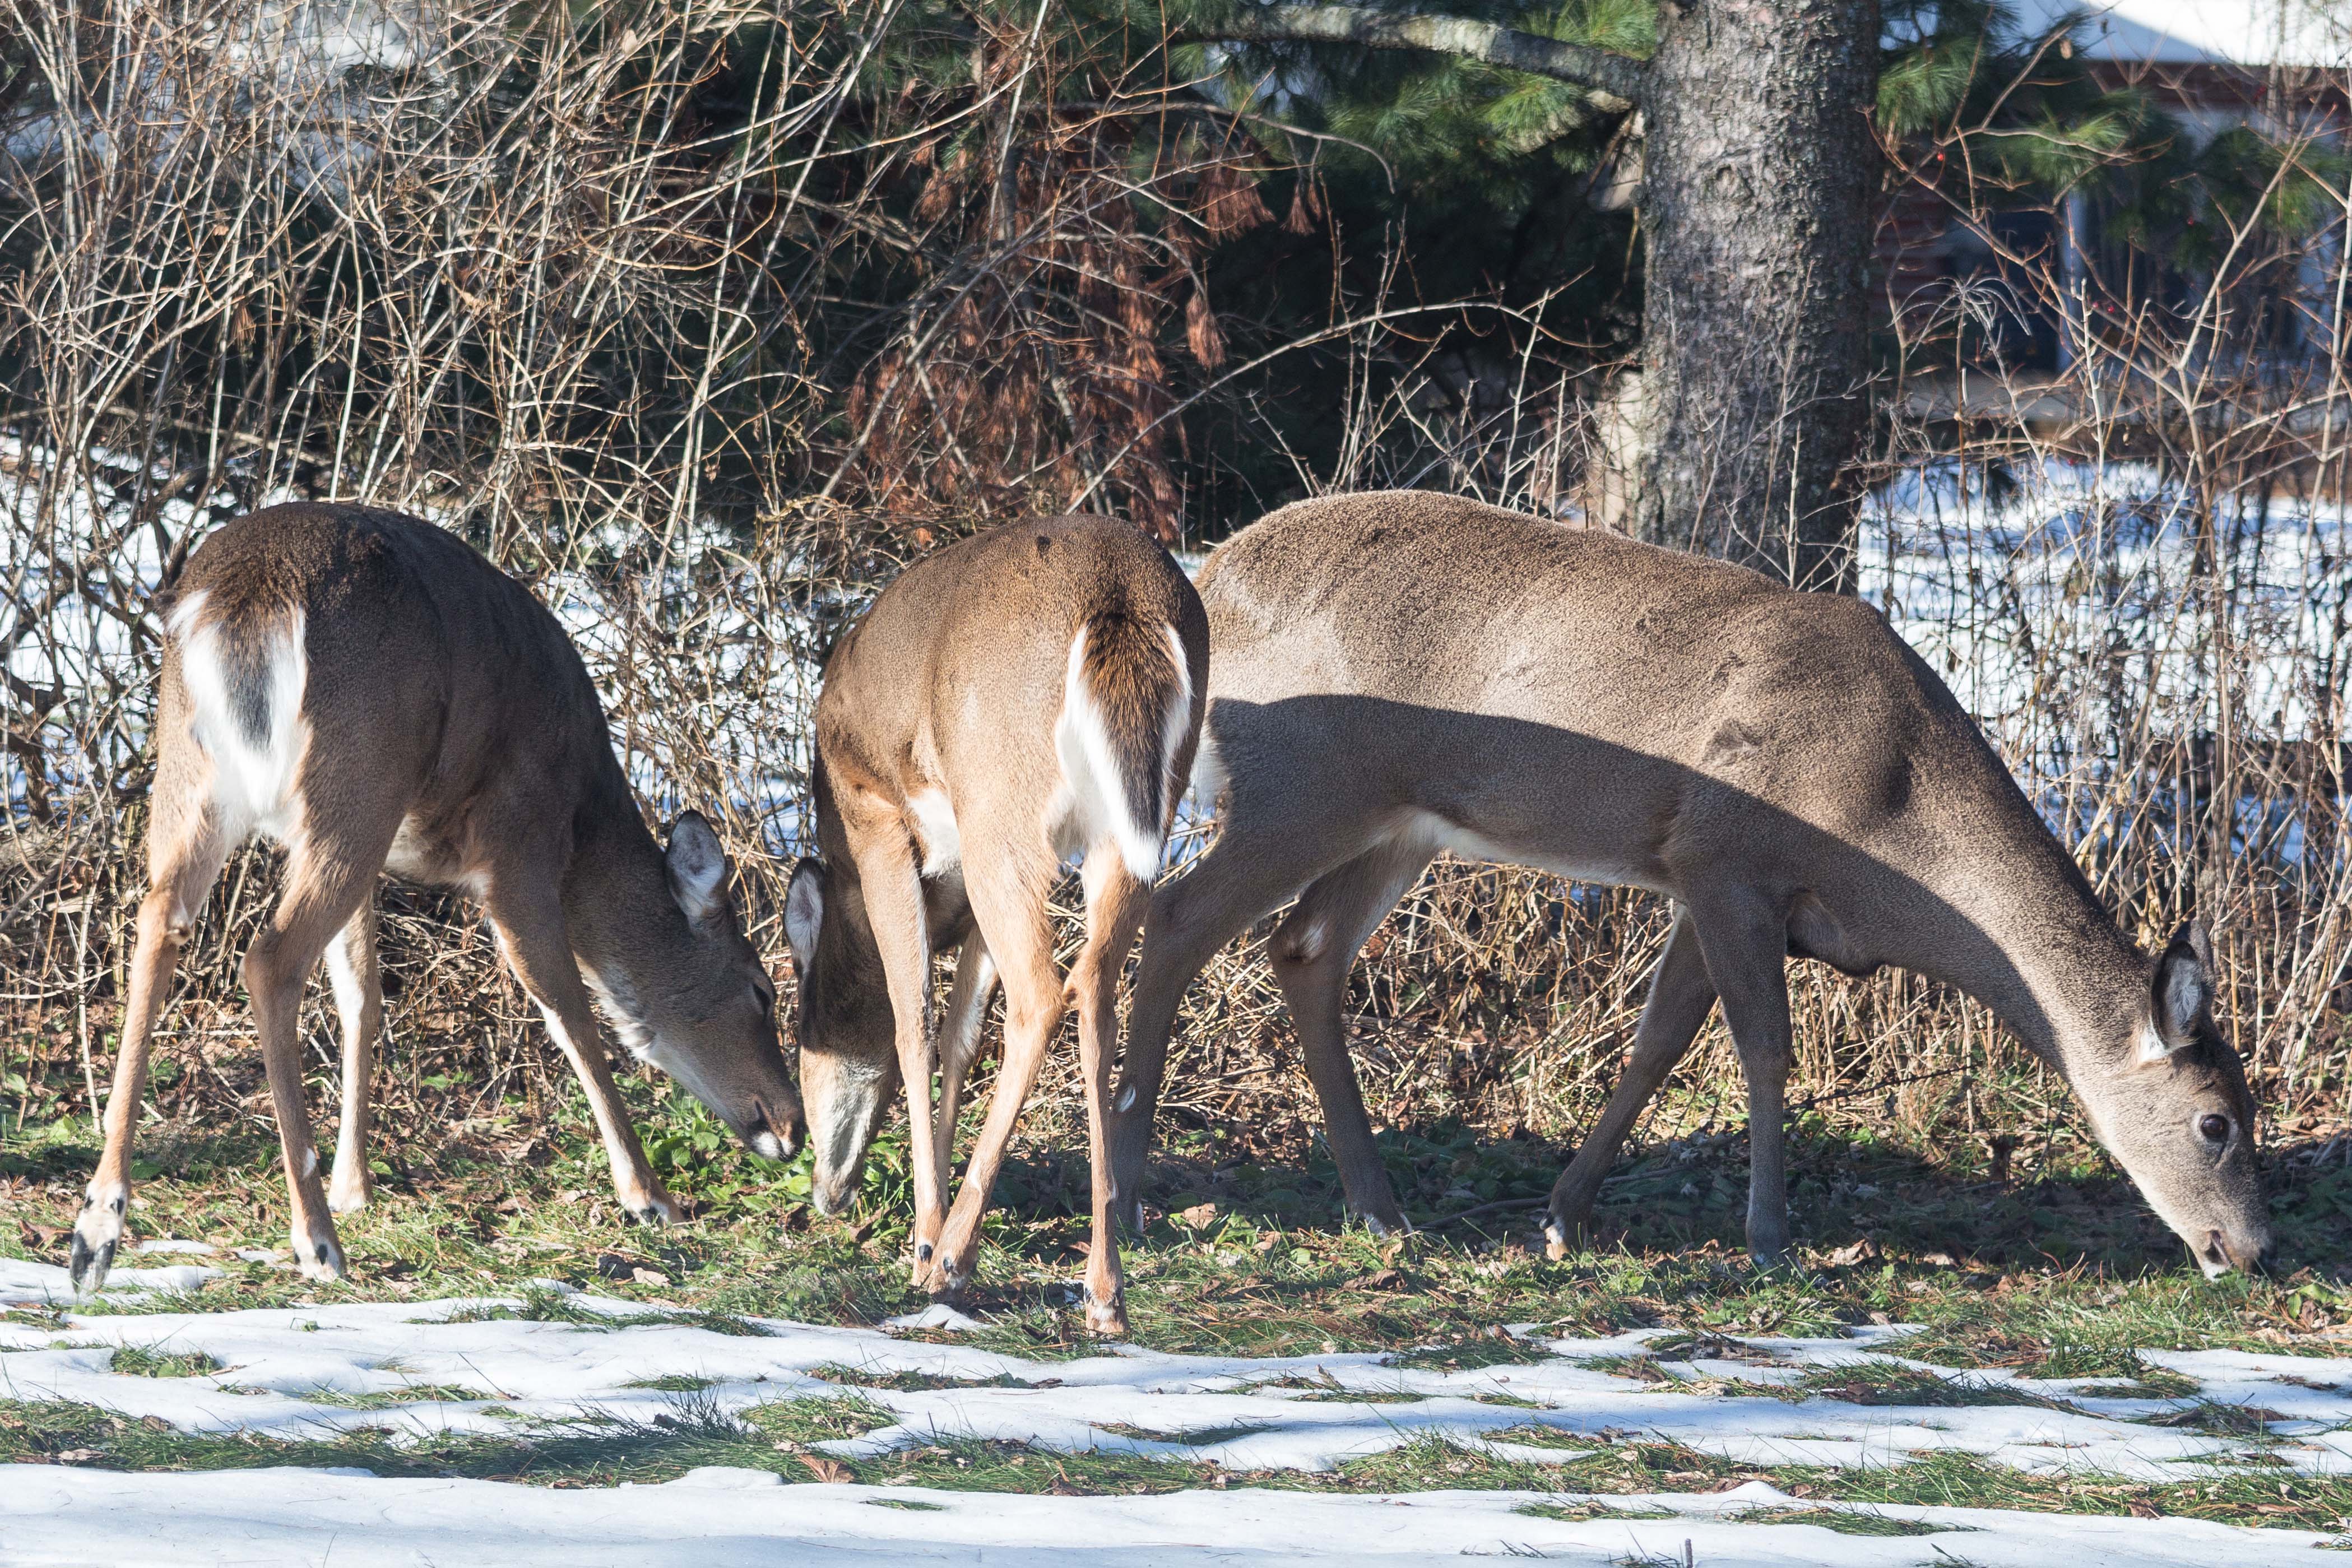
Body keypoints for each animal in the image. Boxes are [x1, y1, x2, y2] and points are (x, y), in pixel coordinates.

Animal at [68, 510, 804, 1297]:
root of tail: (243, 602)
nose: (793, 1127)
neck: (585, 818)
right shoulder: (518, 844)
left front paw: (354, 1186)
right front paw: (649, 1196)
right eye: (761, 989)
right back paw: (314, 1241)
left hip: (200, 777)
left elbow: (362, 997)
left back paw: (98, 1229)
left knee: (160, 919)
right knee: (269, 959)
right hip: (358, 776)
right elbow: (569, 1009)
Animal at [785, 522, 1204, 1335]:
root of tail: (1119, 599)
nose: (823, 1192)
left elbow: (914, 1021)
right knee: (1095, 990)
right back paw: (1103, 1292)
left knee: (1043, 992)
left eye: (802, 1037)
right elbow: (963, 1033)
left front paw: (924, 1238)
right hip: (1132, 826)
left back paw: (950, 1259)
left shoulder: (876, 814)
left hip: (1000, 807)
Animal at [1110, 486, 2267, 1279]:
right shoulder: (1727, 856)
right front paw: (1767, 1235)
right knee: (1175, 916)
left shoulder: (1710, 883)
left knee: (1301, 949)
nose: (2250, 1250)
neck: (1892, 818)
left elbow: (1656, 1043)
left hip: (1395, 822)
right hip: (1301, 785)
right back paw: (1129, 1192)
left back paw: (1380, 1207)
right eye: (2215, 1121)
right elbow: (1762, 1050)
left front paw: (1561, 1214)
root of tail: (1212, 589)